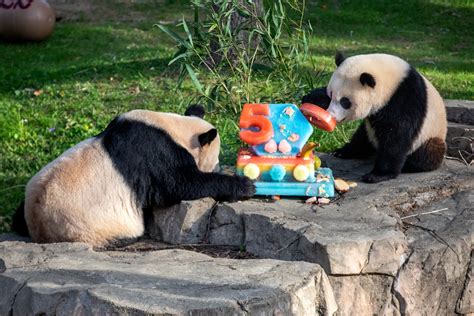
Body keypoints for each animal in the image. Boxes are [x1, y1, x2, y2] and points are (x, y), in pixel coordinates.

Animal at [12, 105, 256, 247]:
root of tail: (40, 232)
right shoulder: (156, 154)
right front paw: (244, 186)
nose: (217, 167)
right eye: (215, 160)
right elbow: (179, 184)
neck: (174, 128)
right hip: (94, 227)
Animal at [304, 53, 448, 184]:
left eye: (345, 102)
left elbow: (397, 135)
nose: (332, 115)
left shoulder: (404, 98)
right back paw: (344, 151)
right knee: (362, 137)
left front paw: (377, 175)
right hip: (369, 131)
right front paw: (310, 98)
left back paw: (410, 164)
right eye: (331, 94)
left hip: (430, 136)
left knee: (429, 151)